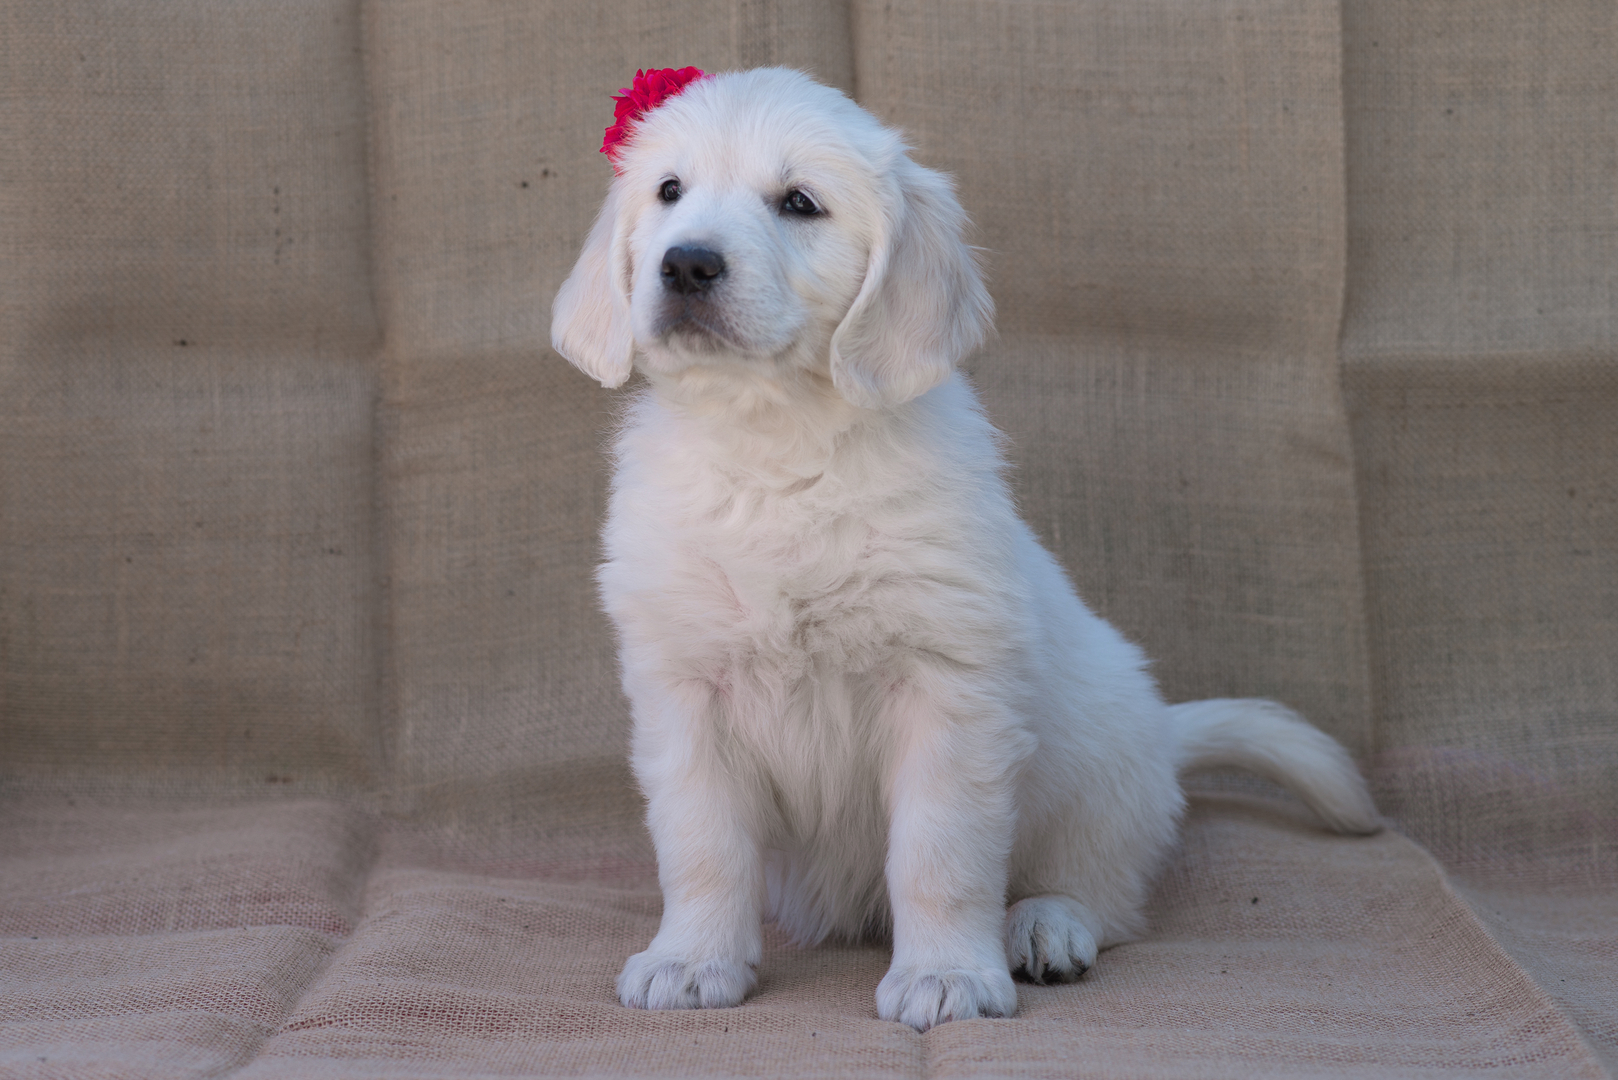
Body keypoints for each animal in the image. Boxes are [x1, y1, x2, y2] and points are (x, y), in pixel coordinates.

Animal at [546, 65, 1378, 1029]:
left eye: (799, 203)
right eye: (669, 192)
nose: (685, 262)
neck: (777, 448)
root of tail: (1165, 735)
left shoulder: (946, 687)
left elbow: (938, 852)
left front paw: (945, 976)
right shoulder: (684, 690)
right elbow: (701, 844)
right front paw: (691, 960)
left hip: (1100, 777)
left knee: (1103, 892)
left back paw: (1045, 928)